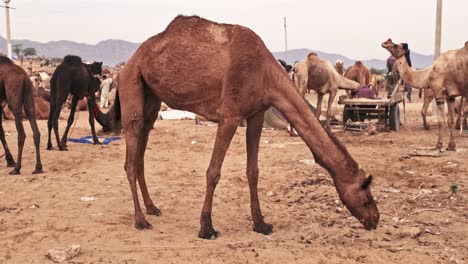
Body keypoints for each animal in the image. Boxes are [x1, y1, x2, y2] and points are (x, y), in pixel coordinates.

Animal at [114, 15, 380, 238]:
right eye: (366, 195)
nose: (375, 219)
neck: (266, 74)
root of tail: (128, 63)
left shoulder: (256, 115)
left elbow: (253, 171)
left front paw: (261, 223)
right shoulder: (230, 115)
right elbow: (213, 172)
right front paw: (206, 228)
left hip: (151, 97)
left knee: (141, 152)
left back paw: (152, 208)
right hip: (131, 84)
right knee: (130, 158)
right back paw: (140, 220)